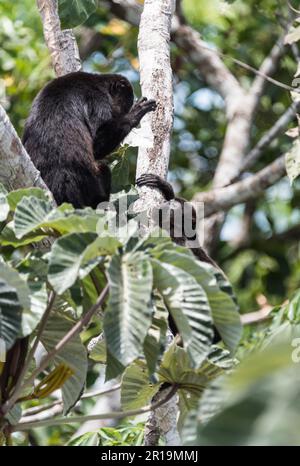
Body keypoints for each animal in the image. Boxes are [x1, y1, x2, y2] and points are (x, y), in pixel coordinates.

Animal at [22, 71, 156, 208]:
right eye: (125, 107)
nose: (120, 113)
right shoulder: (98, 100)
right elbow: (96, 146)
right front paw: (134, 114)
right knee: (104, 169)